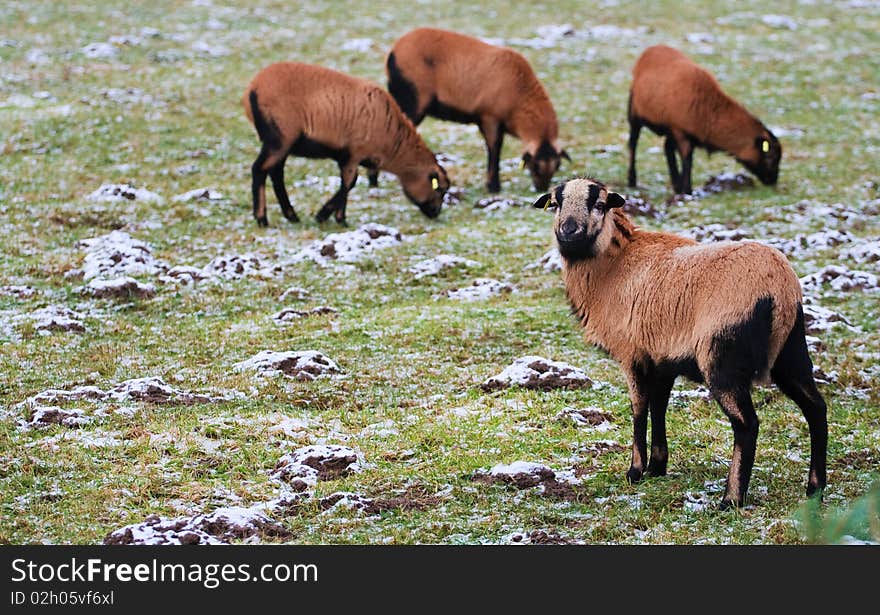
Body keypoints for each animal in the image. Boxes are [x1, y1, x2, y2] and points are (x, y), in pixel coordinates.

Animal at [242, 62, 450, 229]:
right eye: (438, 189)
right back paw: (262, 219)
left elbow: (348, 183)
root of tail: (252, 88)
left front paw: (325, 215)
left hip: (282, 144)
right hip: (279, 137)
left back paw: (291, 216)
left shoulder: (346, 157)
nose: (435, 213)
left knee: (276, 173)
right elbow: (349, 182)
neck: (393, 140)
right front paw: (337, 218)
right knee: (259, 169)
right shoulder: (354, 153)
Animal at [378, 26, 572, 192]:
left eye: (557, 165)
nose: (542, 189)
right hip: (412, 100)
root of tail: (393, 52)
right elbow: (494, 149)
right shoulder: (490, 117)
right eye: (535, 165)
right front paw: (493, 186)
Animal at [532, 176, 828, 508]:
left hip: (722, 357)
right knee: (816, 408)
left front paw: (635, 471)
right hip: (792, 351)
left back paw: (731, 499)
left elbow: (639, 408)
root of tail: (780, 290)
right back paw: (815, 488)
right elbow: (659, 406)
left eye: (599, 204)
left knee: (747, 424)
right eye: (556, 204)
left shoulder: (632, 354)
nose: (568, 231)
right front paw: (657, 466)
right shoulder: (662, 358)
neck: (611, 267)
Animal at [624, 45, 784, 195]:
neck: (709, 111)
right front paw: (687, 191)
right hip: (634, 112)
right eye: (771, 157)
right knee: (633, 144)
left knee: (667, 148)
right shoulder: (680, 131)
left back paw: (675, 185)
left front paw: (682, 188)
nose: (773, 182)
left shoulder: (680, 131)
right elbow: (687, 159)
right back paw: (632, 180)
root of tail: (651, 49)